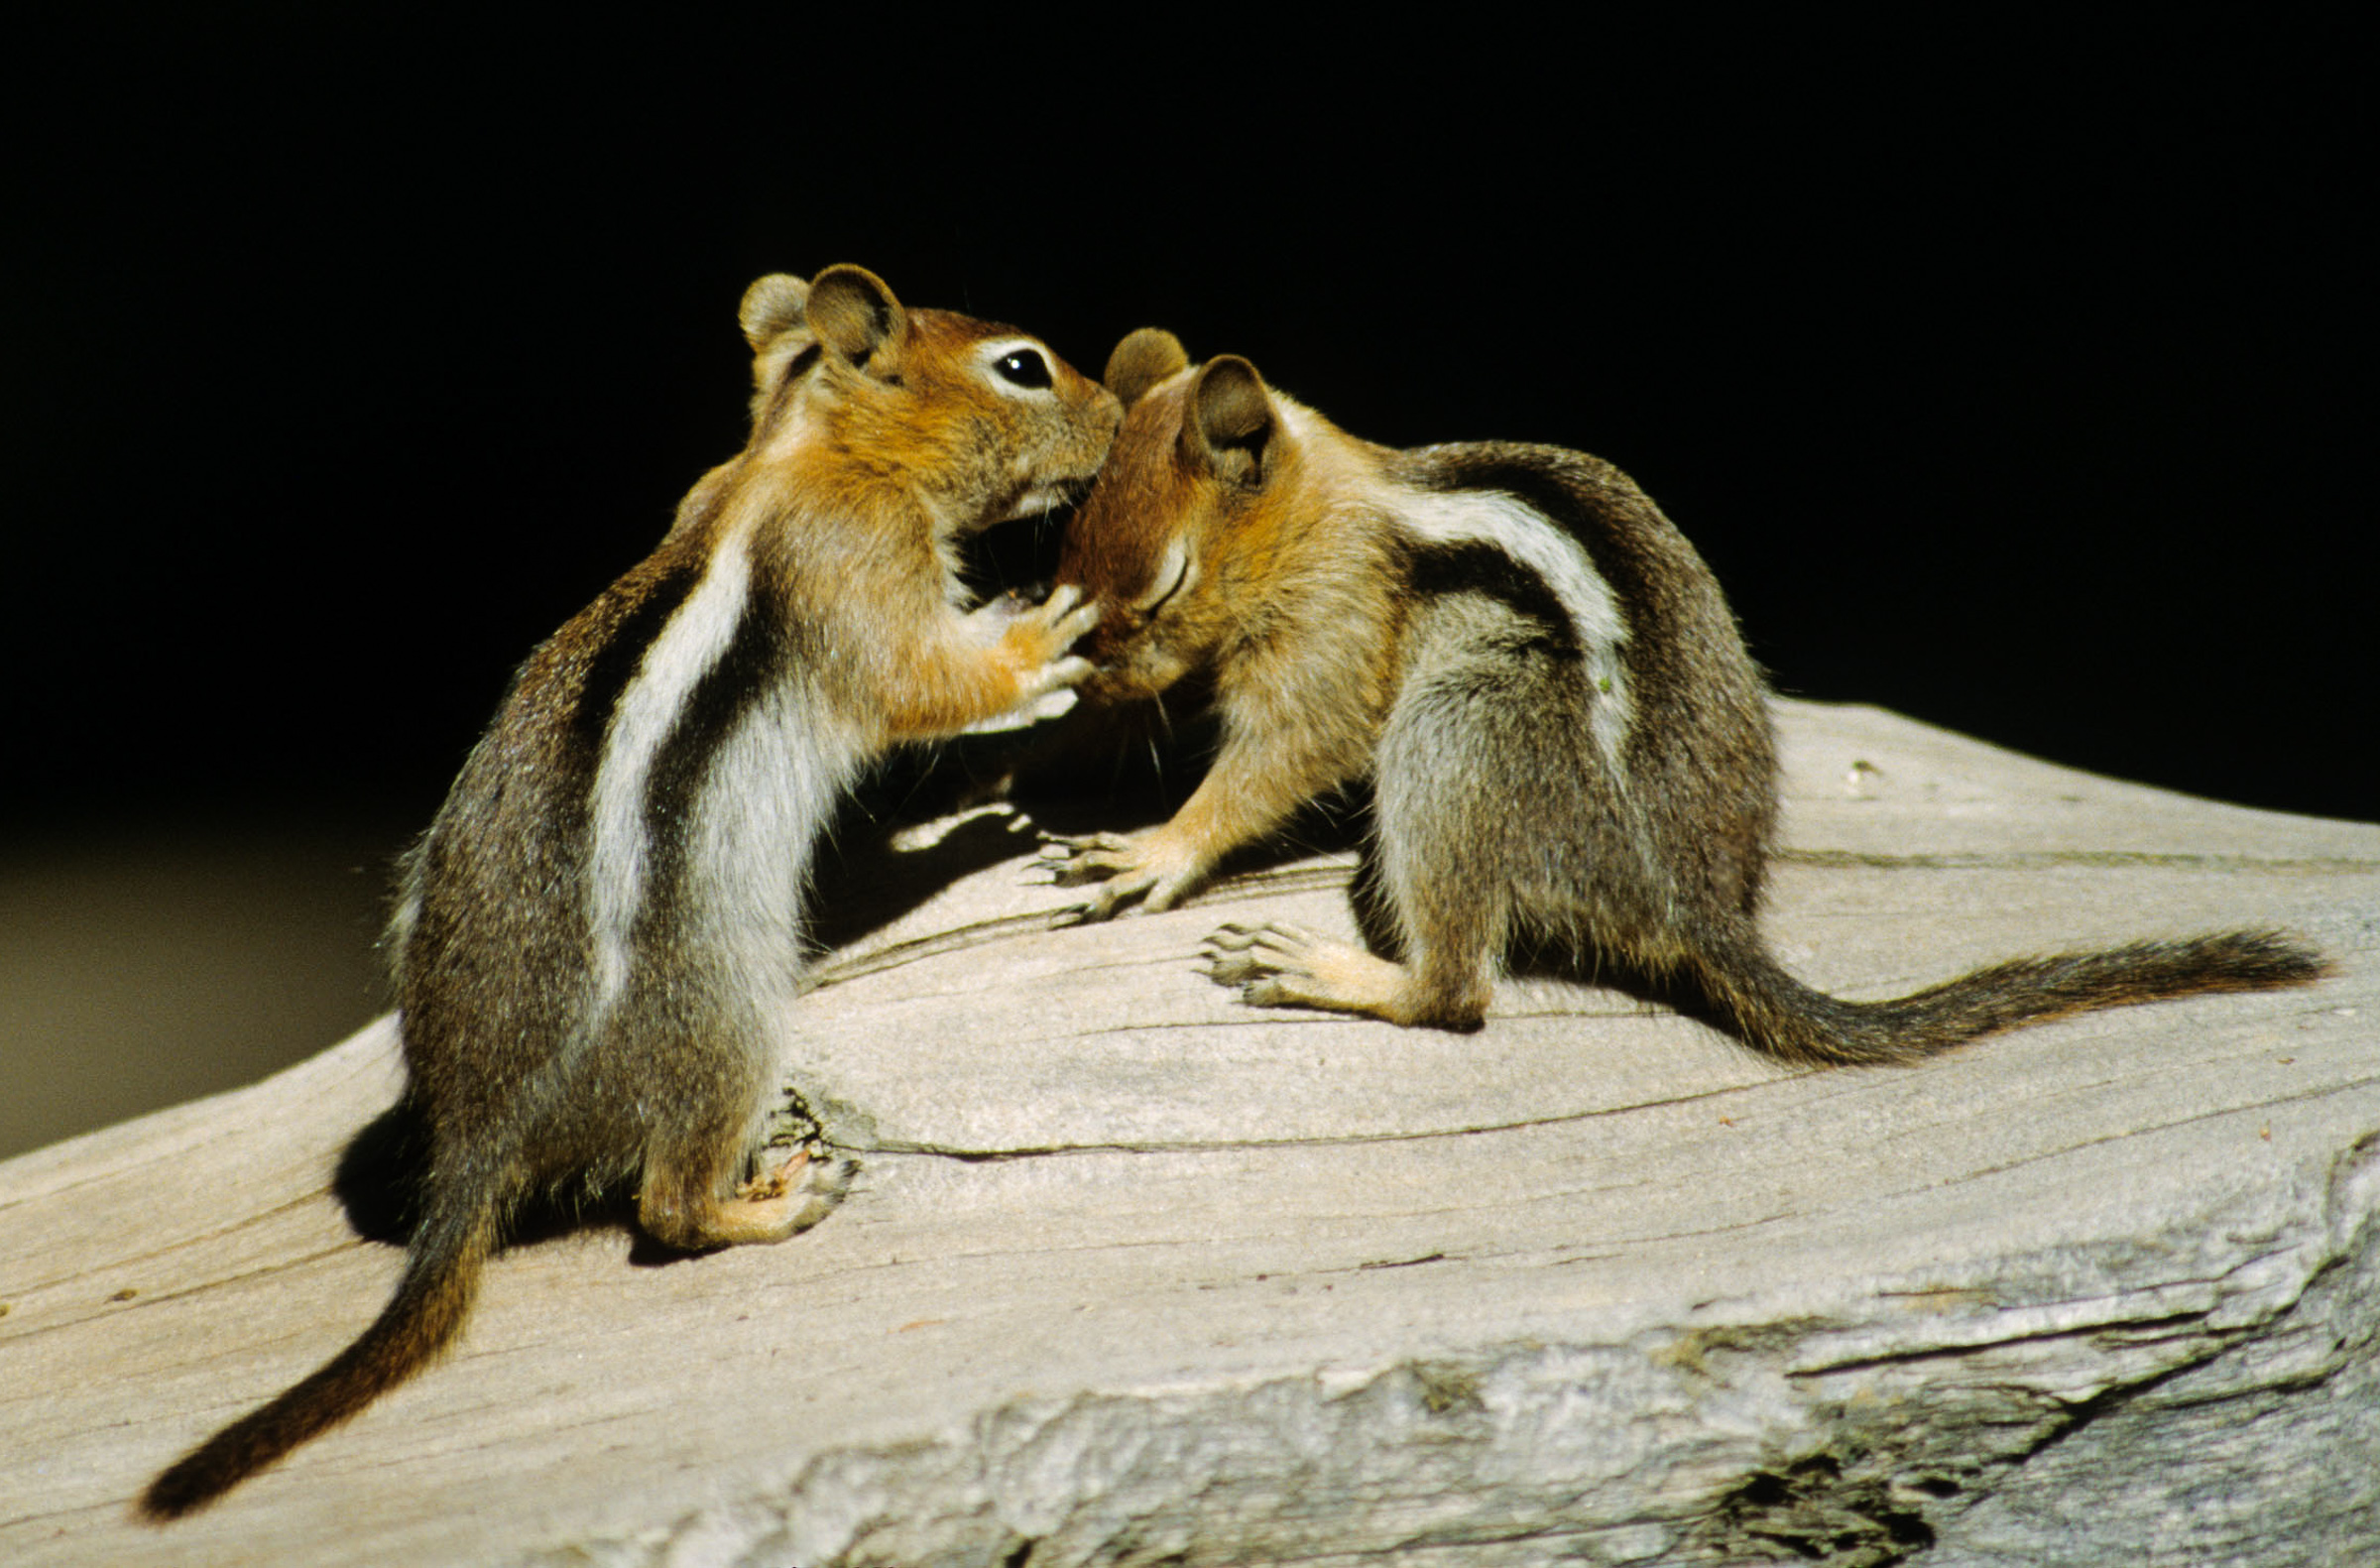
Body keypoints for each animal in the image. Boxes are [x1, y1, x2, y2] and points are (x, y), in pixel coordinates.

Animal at [144, 264, 1119, 1512]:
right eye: (1023, 367)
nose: (1113, 413)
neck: (803, 448)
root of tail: (480, 1142)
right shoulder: (857, 565)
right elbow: (923, 681)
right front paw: (1039, 645)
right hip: (724, 1024)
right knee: (668, 1211)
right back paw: (773, 1204)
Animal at [1042, 335, 2322, 1056]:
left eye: (1164, 585)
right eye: (1065, 564)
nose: (1100, 669)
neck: (1326, 505)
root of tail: (1691, 899)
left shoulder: (1337, 630)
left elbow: (1288, 751)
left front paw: (1156, 846)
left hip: (1463, 731)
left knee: (1459, 993)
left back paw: (1336, 970)